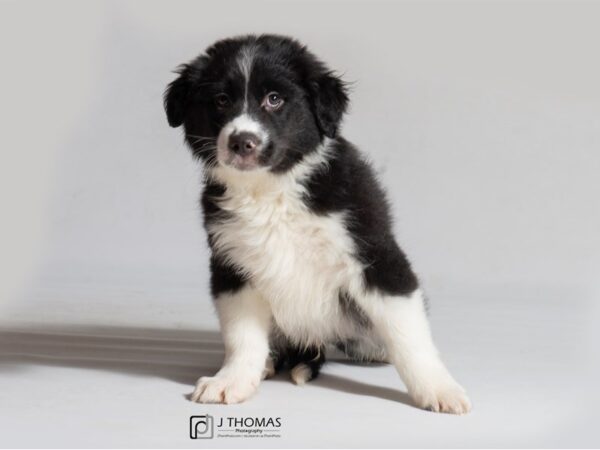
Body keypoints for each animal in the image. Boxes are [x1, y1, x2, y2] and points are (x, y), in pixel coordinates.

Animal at [166, 34, 472, 414]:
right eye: (221, 100)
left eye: (275, 99)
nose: (241, 142)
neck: (272, 191)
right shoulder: (232, 266)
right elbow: (242, 336)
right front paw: (232, 380)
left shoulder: (374, 253)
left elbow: (408, 332)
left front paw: (439, 388)